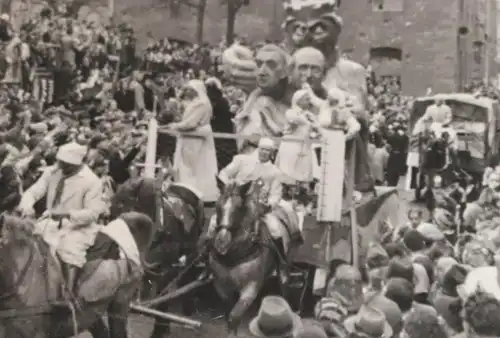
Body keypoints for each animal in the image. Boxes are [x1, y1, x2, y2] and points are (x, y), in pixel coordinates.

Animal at [111, 177, 205, 338]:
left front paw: (160, 329)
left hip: (191, 250)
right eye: (114, 208)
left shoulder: (166, 264)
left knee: (188, 275)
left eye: (126, 206)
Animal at [205, 180, 280, 336]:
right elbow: (229, 315)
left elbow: (235, 316)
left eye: (239, 208)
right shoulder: (221, 286)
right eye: (217, 205)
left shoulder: (251, 287)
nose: (221, 241)